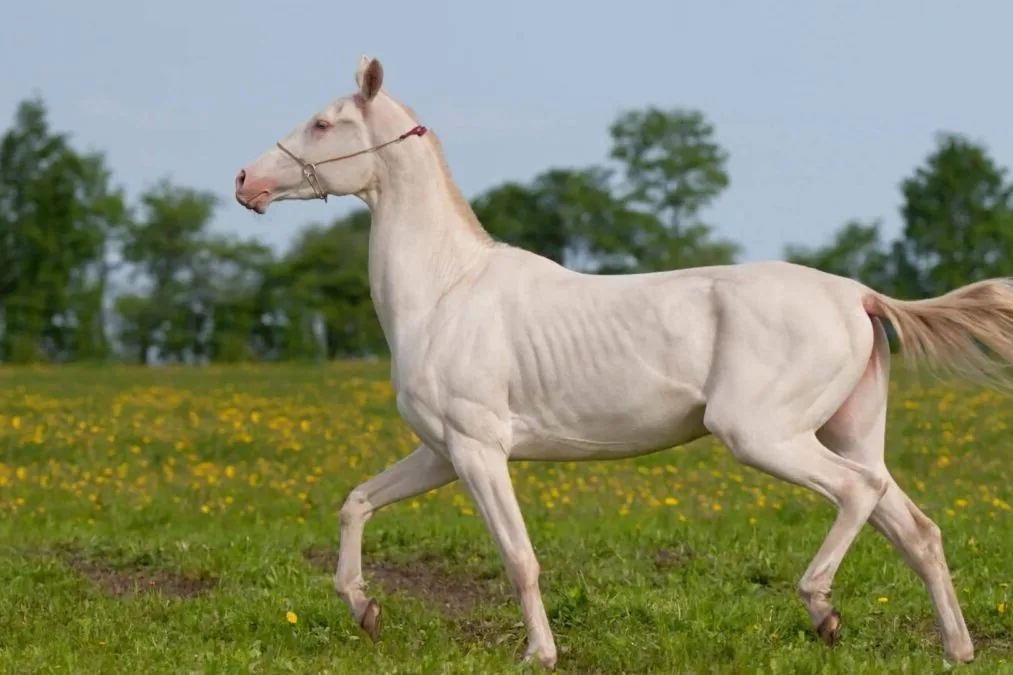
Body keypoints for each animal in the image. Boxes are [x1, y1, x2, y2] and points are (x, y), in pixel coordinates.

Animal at [235, 54, 1013, 669]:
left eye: (324, 124)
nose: (245, 180)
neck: (445, 291)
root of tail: (857, 294)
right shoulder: (440, 451)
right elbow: (357, 501)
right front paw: (364, 610)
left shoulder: (479, 449)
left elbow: (518, 556)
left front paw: (539, 654)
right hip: (845, 431)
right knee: (913, 526)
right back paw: (957, 649)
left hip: (761, 434)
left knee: (858, 493)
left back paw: (822, 609)